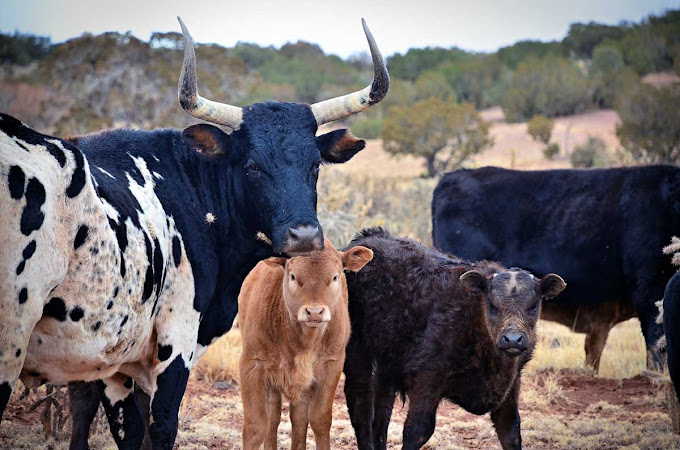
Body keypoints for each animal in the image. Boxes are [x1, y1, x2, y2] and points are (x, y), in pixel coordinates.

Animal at [238, 237, 372, 448]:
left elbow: (320, 421)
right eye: (293, 276)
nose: (314, 312)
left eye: (335, 277)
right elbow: (256, 427)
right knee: (273, 417)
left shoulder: (332, 366)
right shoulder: (252, 365)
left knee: (298, 419)